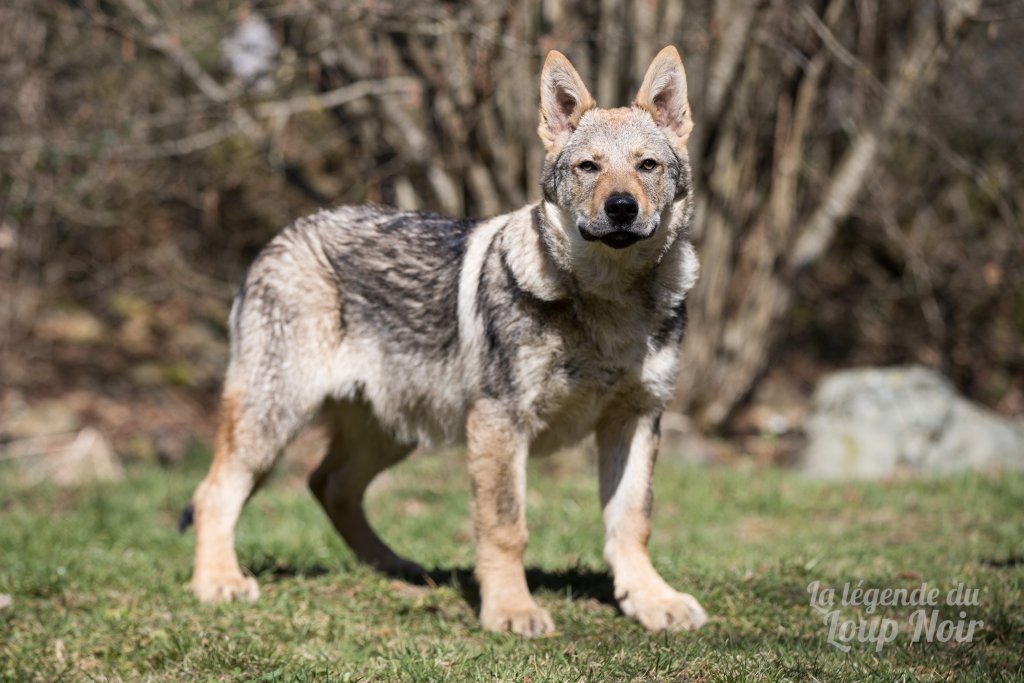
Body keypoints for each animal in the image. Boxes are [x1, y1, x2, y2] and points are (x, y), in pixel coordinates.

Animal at [185, 45, 707, 636]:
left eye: (648, 165)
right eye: (588, 167)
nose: (621, 207)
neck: (609, 302)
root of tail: (282, 235)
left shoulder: (636, 419)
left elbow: (632, 522)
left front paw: (651, 600)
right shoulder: (500, 423)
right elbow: (505, 527)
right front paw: (511, 609)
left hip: (391, 429)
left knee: (329, 483)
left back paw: (393, 566)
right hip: (276, 416)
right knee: (214, 493)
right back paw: (218, 583)